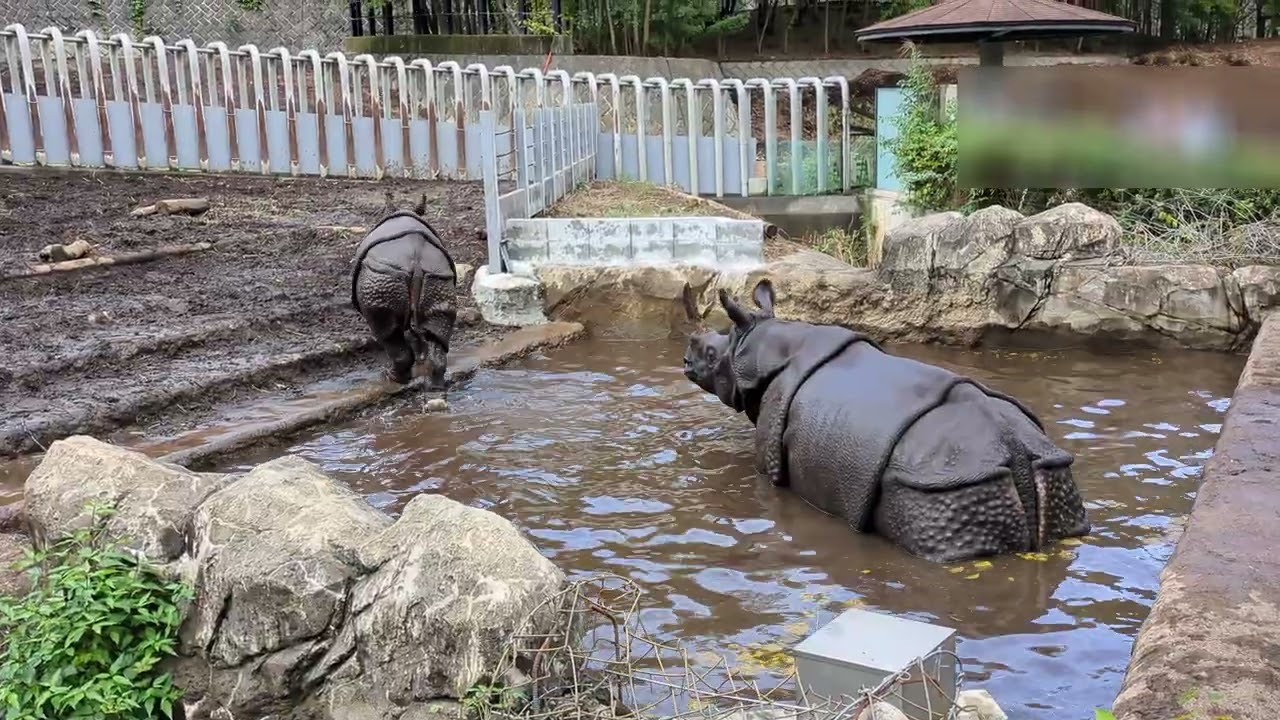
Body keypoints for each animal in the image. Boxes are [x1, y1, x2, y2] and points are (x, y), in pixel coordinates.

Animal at [351, 195, 458, 388]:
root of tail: (416, 263)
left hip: (383, 277)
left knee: (387, 331)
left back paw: (391, 377)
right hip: (439, 278)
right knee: (438, 326)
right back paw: (436, 385)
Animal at [683, 278, 1090, 563]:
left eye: (710, 353)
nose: (685, 361)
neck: (754, 350)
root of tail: (1014, 448)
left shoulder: (769, 450)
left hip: (943, 489)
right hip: (1045, 472)